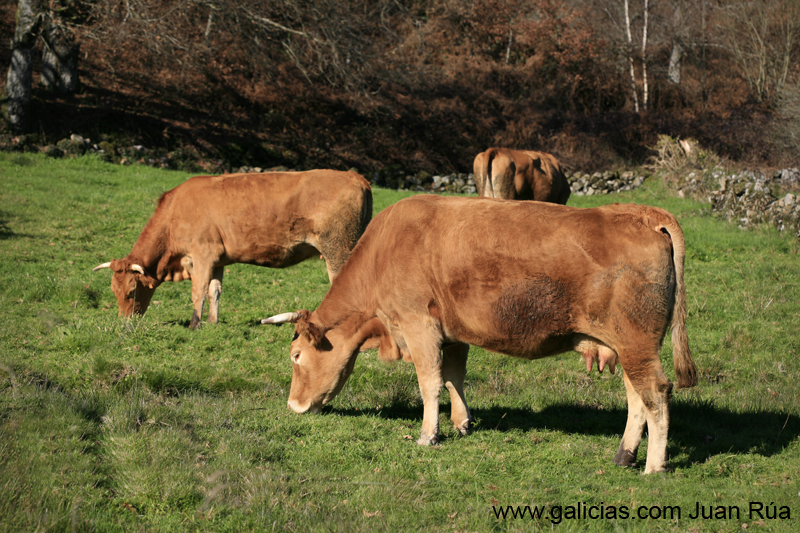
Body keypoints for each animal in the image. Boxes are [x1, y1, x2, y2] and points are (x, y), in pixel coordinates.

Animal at [93, 170, 372, 328]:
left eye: (131, 291)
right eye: (113, 291)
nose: (125, 323)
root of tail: (355, 176)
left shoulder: (202, 254)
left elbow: (198, 292)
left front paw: (195, 325)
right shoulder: (217, 260)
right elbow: (214, 291)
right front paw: (213, 323)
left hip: (338, 249)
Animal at [266, 195, 696, 474]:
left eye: (296, 357)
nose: (293, 406)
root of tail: (642, 213)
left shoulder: (419, 326)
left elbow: (429, 382)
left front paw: (428, 435)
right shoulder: (452, 332)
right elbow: (453, 377)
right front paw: (462, 423)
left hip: (636, 343)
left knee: (655, 393)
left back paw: (654, 466)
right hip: (627, 346)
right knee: (636, 397)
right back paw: (625, 455)